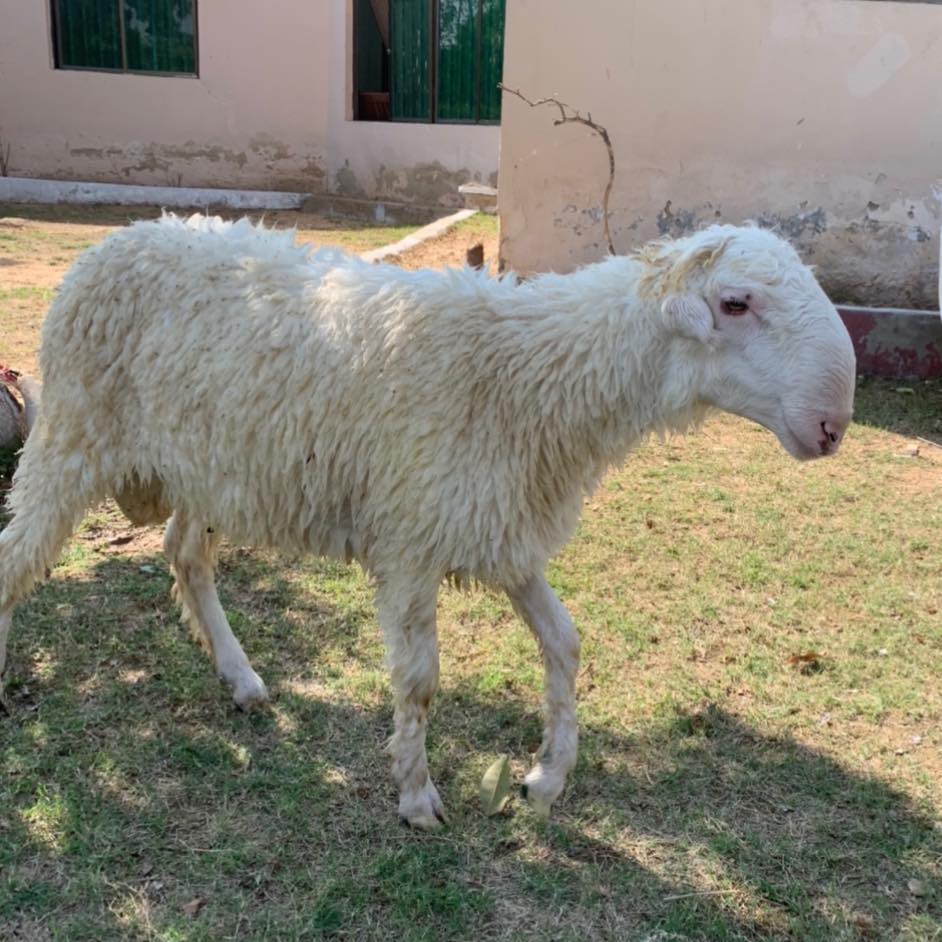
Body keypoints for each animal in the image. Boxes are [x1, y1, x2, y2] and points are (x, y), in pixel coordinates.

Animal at [0, 214, 856, 827]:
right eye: (735, 303)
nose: (832, 427)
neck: (530, 382)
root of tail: (114, 243)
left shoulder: (501, 531)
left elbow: (565, 645)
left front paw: (546, 777)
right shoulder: (411, 537)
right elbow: (418, 683)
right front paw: (417, 799)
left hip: (208, 468)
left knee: (185, 555)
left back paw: (241, 679)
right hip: (73, 430)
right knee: (15, 557)